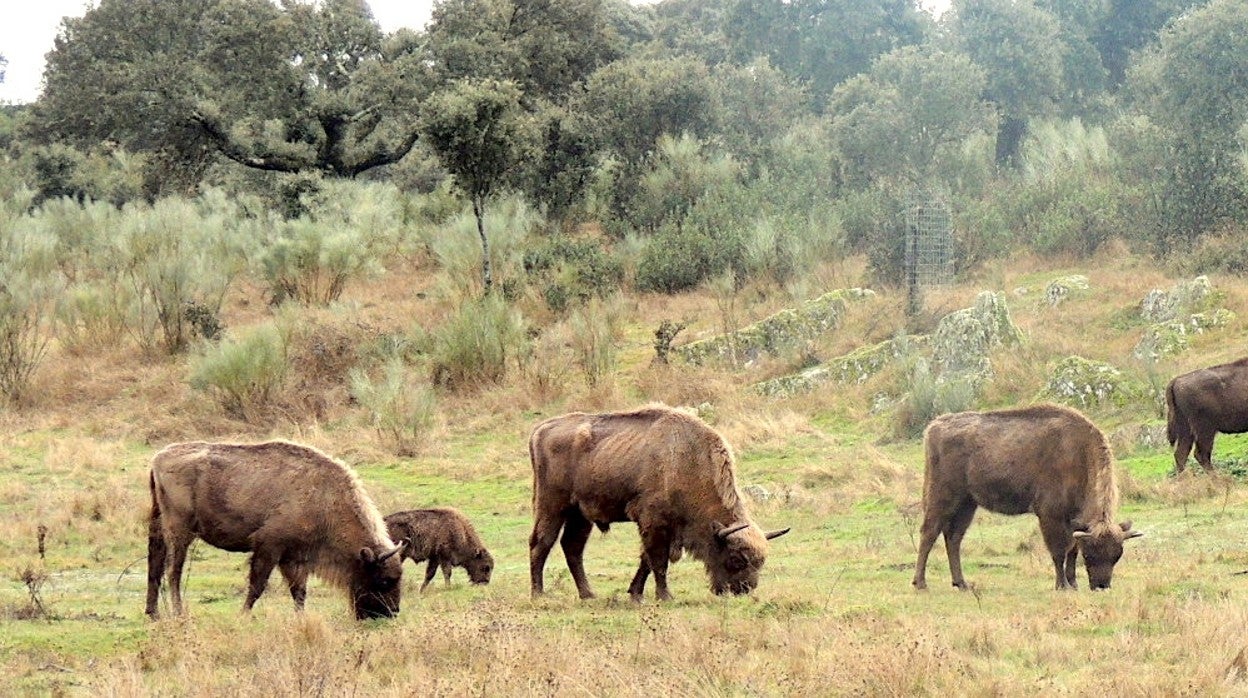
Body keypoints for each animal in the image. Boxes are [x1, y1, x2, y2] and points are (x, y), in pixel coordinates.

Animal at [146, 442, 409, 621]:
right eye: (384, 580)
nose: (392, 612)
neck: (325, 498)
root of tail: (158, 458)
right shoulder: (269, 547)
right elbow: (258, 585)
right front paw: (243, 614)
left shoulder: (295, 557)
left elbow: (299, 591)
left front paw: (300, 618)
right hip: (180, 531)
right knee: (173, 570)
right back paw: (178, 612)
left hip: (159, 527)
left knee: (155, 564)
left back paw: (153, 613)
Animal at [526, 404, 788, 601]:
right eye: (736, 559)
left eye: (760, 562)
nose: (743, 590)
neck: (686, 462)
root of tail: (540, 429)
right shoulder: (654, 523)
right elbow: (658, 562)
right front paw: (665, 596)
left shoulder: (662, 528)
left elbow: (646, 561)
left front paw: (635, 594)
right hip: (552, 506)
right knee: (541, 543)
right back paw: (539, 594)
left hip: (580, 515)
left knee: (572, 547)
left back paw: (588, 595)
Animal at [908, 407, 1143, 591]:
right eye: (1091, 555)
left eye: (1117, 555)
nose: (1102, 586)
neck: (1078, 454)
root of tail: (935, 426)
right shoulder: (1050, 516)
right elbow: (1059, 551)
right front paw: (1062, 585)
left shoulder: (1074, 521)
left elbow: (1072, 550)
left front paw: (1073, 584)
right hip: (943, 497)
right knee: (929, 533)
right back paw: (920, 583)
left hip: (967, 503)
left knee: (953, 537)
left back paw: (962, 584)